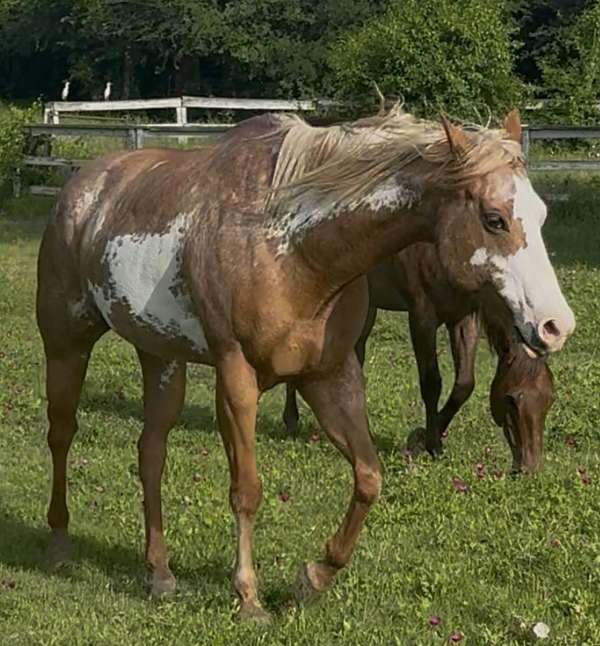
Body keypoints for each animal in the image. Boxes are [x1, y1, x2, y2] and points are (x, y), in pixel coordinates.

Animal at [282, 243, 555, 473]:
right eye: (511, 400)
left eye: (548, 400)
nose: (529, 468)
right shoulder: (422, 315)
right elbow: (432, 383)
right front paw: (429, 443)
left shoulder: (464, 316)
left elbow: (464, 384)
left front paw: (424, 437)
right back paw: (291, 420)